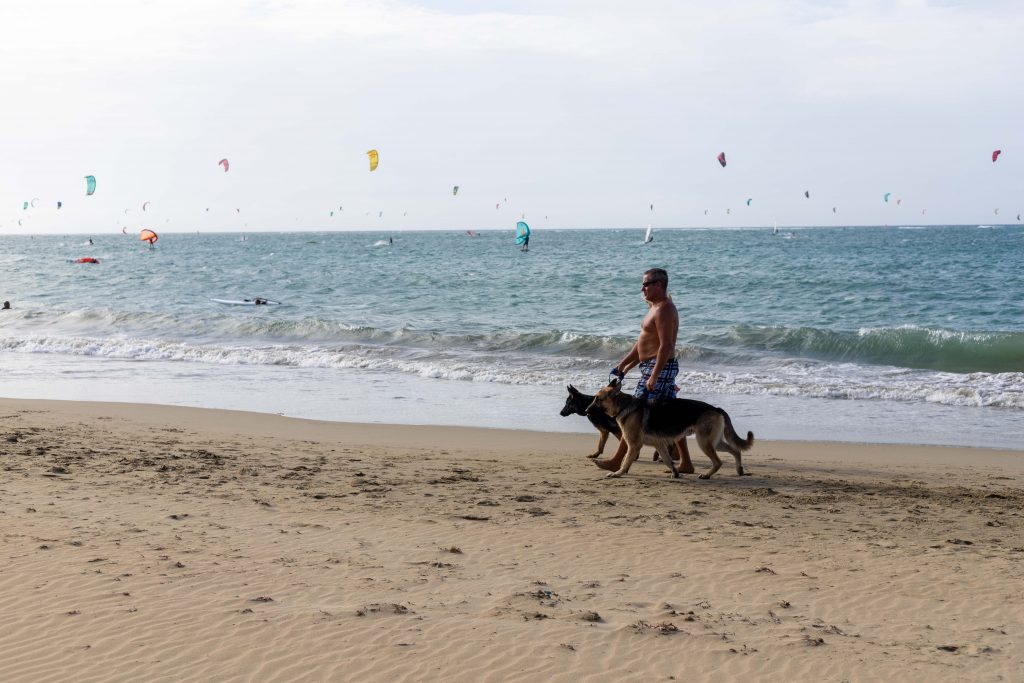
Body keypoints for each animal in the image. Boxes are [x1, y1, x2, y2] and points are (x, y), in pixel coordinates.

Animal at [585, 378, 753, 481]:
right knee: (735, 450)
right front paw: (675, 472)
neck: (625, 406)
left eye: (598, 399)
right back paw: (739, 469)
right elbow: (667, 460)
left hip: (704, 442)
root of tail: (716, 408)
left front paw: (618, 473)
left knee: (718, 462)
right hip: (714, 443)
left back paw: (706, 475)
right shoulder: (659, 445)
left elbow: (626, 461)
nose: (586, 410)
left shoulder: (633, 445)